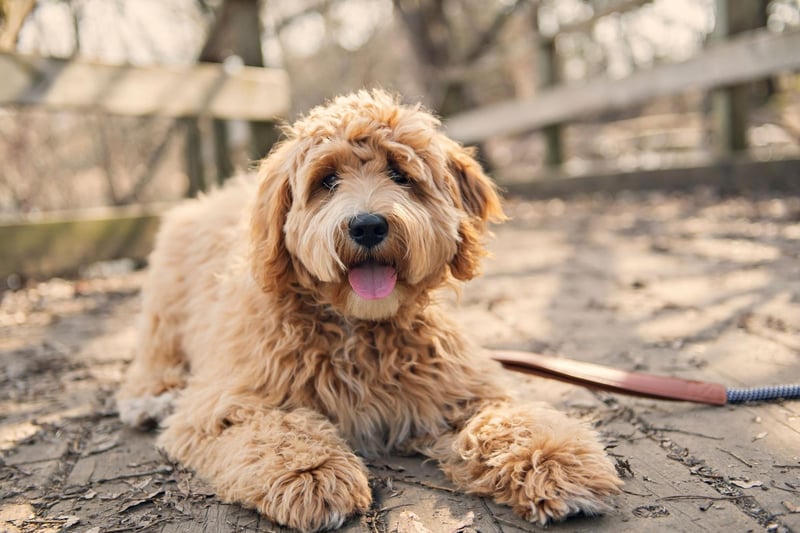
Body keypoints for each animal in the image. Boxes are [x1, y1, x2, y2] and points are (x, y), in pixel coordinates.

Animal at [115, 89, 620, 528]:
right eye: (327, 181)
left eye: (400, 174)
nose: (368, 225)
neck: (359, 327)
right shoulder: (224, 403)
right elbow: (272, 428)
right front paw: (313, 474)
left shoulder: (458, 390)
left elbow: (508, 420)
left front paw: (554, 460)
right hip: (165, 306)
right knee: (153, 356)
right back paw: (151, 396)